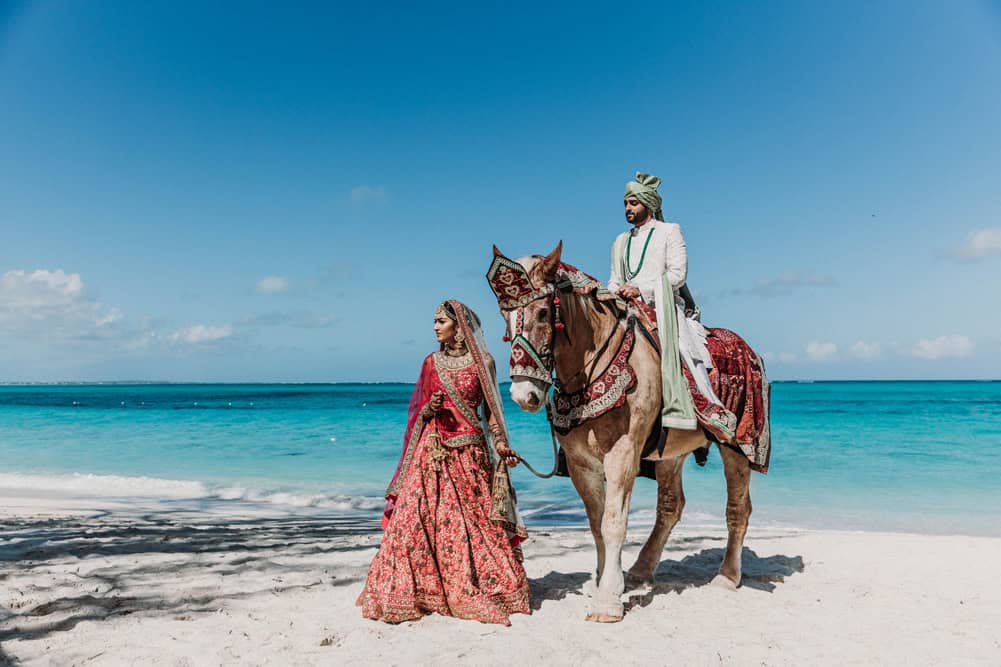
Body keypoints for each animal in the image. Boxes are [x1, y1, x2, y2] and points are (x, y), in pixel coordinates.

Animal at [486, 241, 772, 620]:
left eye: (544, 313)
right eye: (505, 320)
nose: (524, 395)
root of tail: (751, 351)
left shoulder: (622, 455)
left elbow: (613, 522)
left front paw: (608, 599)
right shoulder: (580, 463)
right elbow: (596, 523)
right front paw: (603, 582)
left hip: (736, 446)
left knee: (738, 507)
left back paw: (726, 576)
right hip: (670, 454)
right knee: (670, 507)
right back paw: (639, 571)